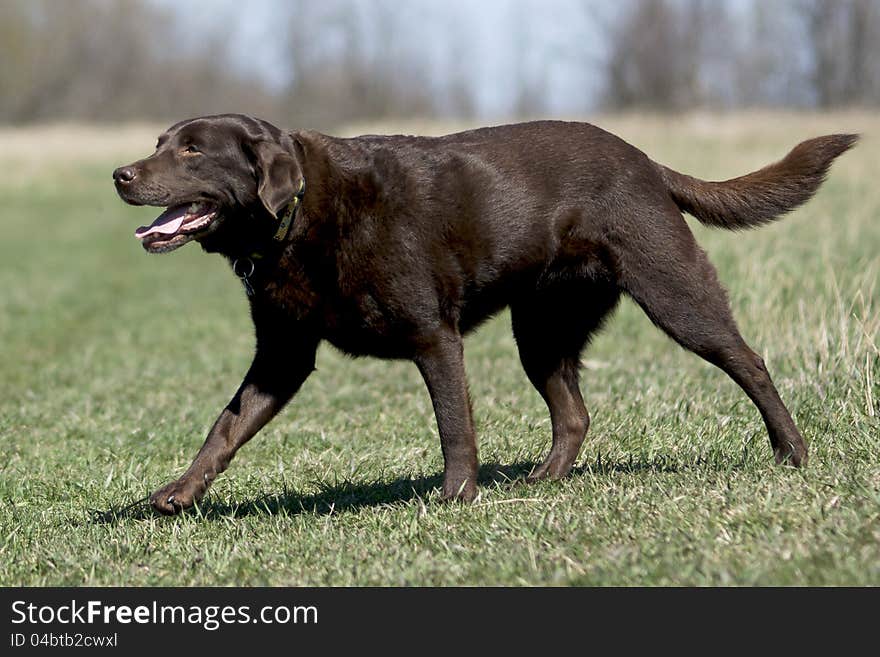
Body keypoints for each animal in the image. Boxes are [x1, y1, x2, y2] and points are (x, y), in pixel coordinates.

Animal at [113, 115, 856, 512]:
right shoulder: (282, 356)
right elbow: (225, 428)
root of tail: (646, 160)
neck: (294, 220)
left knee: (748, 361)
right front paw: (180, 492)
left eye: (192, 149)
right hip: (542, 329)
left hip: (675, 293)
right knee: (573, 412)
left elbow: (453, 425)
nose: (121, 174)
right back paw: (546, 480)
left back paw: (792, 451)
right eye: (159, 141)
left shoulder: (433, 336)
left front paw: (455, 496)